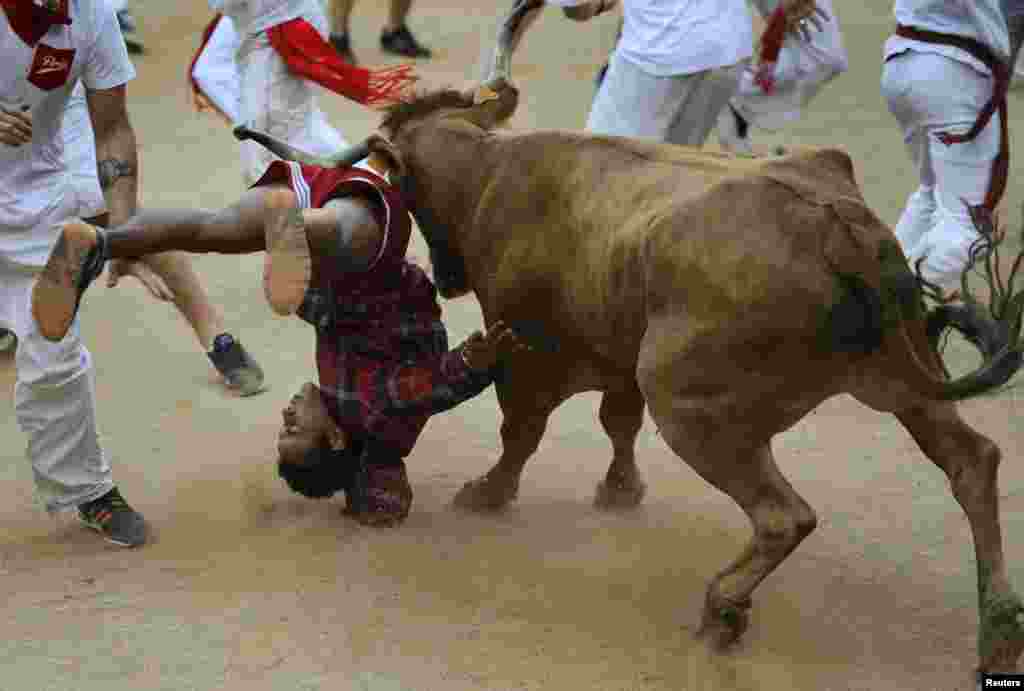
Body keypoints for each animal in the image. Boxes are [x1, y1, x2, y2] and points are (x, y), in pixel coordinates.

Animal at [235, 0, 1024, 671]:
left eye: (408, 192)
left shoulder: (530, 357)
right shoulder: (610, 357)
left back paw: (723, 607)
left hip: (693, 405)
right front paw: (619, 489)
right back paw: (998, 629)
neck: (493, 170)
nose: (448, 280)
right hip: (898, 379)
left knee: (784, 516)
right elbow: (617, 422)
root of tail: (834, 225)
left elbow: (520, 433)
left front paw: (487, 493)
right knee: (972, 462)